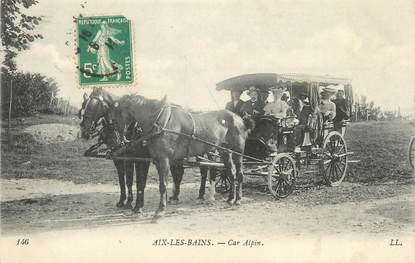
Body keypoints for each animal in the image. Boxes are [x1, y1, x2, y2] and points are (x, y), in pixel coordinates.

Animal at [105, 94, 254, 216]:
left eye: (117, 112)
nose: (120, 140)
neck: (161, 122)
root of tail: (240, 119)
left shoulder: (163, 160)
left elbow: (162, 185)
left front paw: (160, 210)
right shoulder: (157, 161)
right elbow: (160, 184)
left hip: (237, 153)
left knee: (239, 174)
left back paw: (238, 200)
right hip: (224, 151)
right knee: (231, 173)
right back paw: (230, 199)